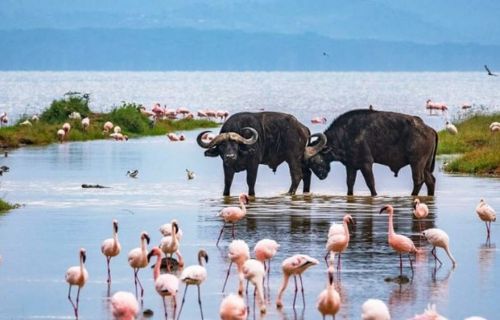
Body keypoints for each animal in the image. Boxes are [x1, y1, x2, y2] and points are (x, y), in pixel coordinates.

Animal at [197, 112, 326, 198]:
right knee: (307, 174)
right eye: (222, 146)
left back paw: (289, 193)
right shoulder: (227, 166)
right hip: (301, 158)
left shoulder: (253, 164)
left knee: (297, 175)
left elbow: (250, 181)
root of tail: (303, 128)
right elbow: (227, 182)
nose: (230, 157)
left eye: (235, 145)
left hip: (293, 158)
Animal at [304, 109, 438, 196]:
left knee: (418, 180)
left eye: (313, 160)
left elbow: (371, 183)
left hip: (416, 163)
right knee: (430, 180)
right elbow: (350, 184)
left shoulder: (366, 164)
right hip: (426, 165)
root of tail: (429, 129)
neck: (346, 135)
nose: (321, 175)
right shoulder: (351, 166)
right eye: (308, 163)